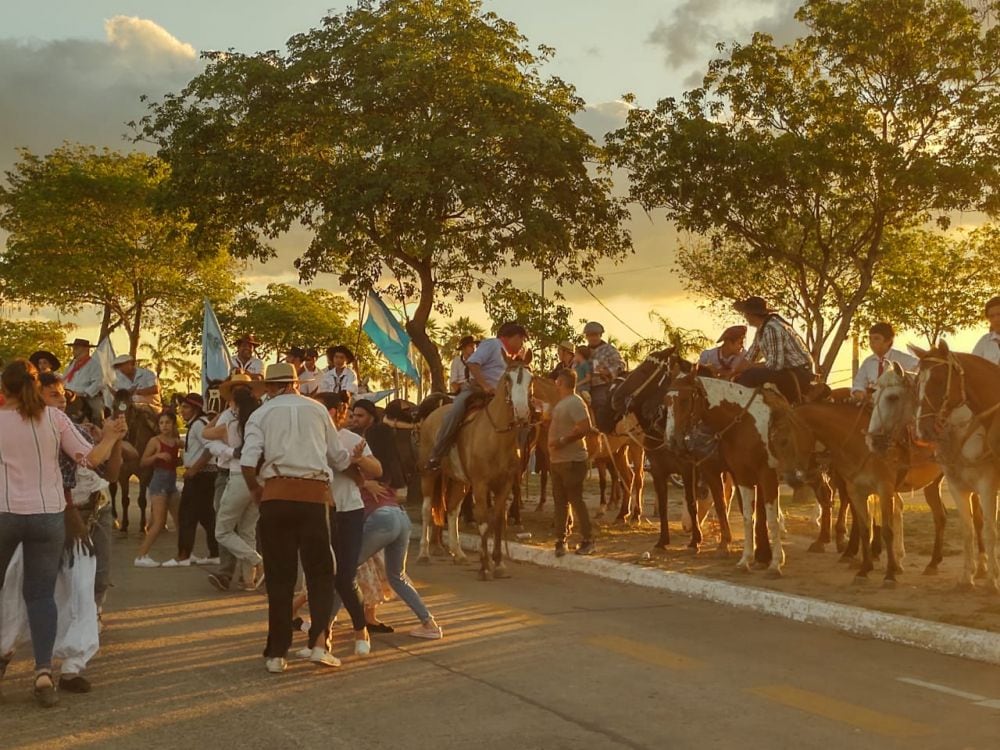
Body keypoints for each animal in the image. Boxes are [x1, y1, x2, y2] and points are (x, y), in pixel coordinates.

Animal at [414, 364, 536, 580]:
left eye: (531, 379)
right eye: (508, 378)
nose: (522, 412)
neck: (496, 436)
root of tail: (430, 417)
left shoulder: (504, 485)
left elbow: (499, 521)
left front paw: (498, 564)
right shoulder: (480, 485)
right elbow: (483, 522)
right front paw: (484, 567)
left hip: (461, 482)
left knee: (452, 510)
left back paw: (458, 553)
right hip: (429, 475)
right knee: (427, 510)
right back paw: (424, 554)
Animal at [880, 348, 996, 592]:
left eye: (941, 380)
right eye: (917, 385)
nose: (920, 431)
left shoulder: (987, 484)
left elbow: (990, 528)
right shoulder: (957, 485)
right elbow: (967, 528)